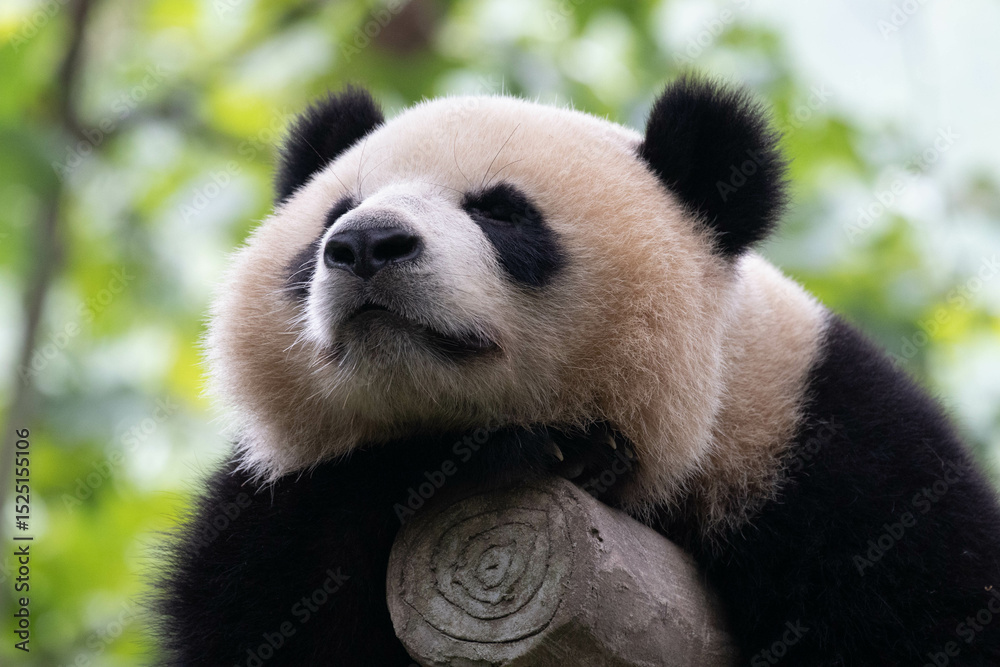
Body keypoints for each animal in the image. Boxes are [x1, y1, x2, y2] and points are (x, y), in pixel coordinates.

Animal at [158, 79, 1000, 666]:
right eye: (336, 213)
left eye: (501, 211)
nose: (366, 244)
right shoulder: (278, 505)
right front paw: (520, 452)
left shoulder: (820, 448)